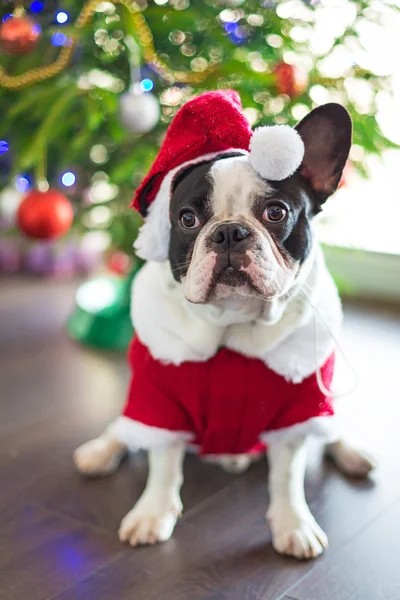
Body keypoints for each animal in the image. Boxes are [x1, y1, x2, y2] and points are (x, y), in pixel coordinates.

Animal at [72, 91, 376, 560]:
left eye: (276, 212)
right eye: (187, 219)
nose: (230, 232)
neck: (235, 323)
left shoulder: (298, 407)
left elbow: (287, 475)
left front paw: (293, 524)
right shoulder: (160, 398)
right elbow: (163, 462)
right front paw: (152, 513)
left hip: (320, 404)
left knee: (328, 430)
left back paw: (351, 451)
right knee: (126, 428)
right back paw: (102, 450)